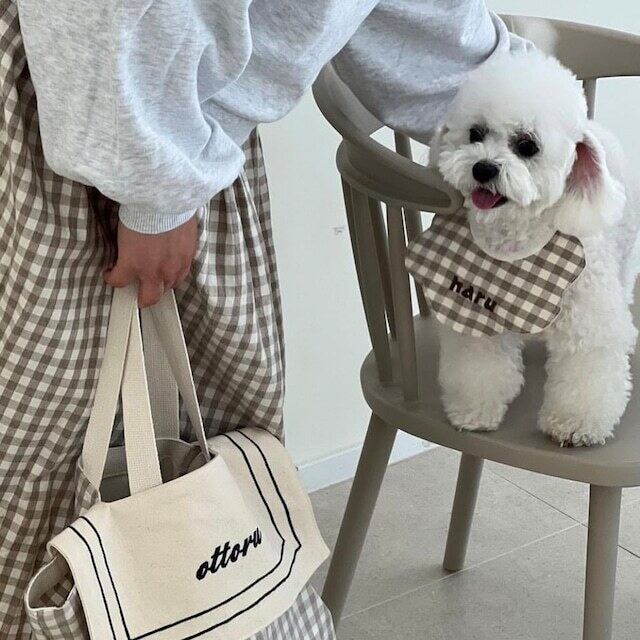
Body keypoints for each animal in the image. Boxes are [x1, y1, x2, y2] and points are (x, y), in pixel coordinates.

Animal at [430, 50, 640, 446]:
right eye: (475, 133)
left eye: (527, 145)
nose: (483, 168)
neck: (519, 236)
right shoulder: (476, 316)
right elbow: (479, 367)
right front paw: (474, 410)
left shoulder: (588, 325)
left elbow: (587, 370)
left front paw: (576, 424)